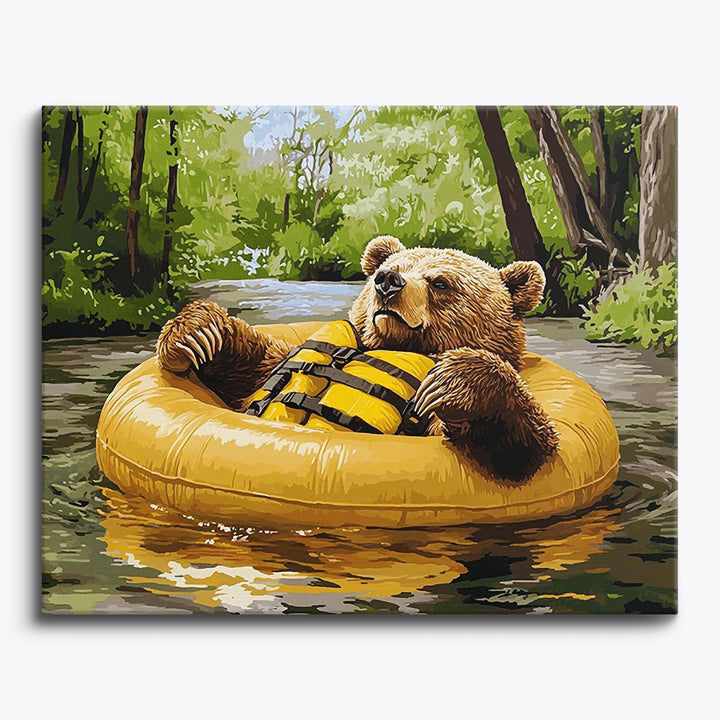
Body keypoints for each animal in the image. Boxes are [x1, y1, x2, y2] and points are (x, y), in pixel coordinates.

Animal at [156, 236, 559, 481]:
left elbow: (526, 448)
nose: (388, 281)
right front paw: (196, 333)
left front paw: (454, 381)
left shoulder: (427, 421)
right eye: (389, 267)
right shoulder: (272, 365)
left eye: (440, 282)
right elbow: (253, 365)